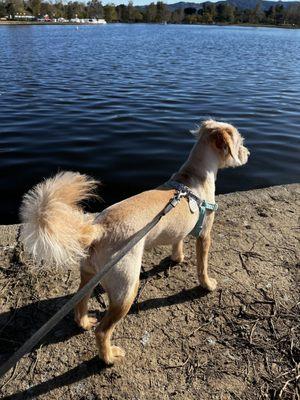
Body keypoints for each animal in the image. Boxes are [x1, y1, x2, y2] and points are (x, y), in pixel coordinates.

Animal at [19, 119, 248, 366]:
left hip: (89, 275)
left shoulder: (178, 232)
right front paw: (207, 285)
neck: (193, 177)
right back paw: (108, 357)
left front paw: (177, 258)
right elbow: (202, 265)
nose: (248, 153)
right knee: (103, 330)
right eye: (240, 142)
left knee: (80, 304)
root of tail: (98, 229)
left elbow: (177, 242)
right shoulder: (205, 235)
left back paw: (85, 323)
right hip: (127, 289)